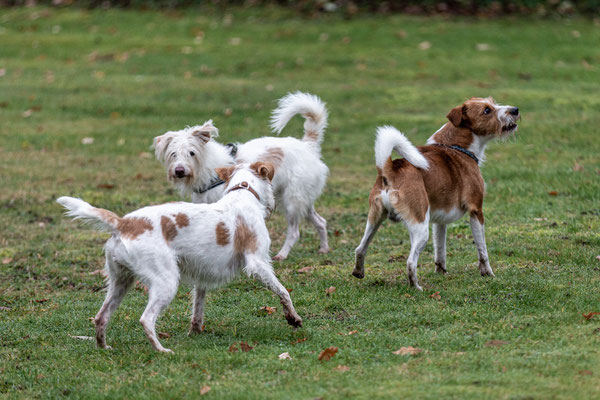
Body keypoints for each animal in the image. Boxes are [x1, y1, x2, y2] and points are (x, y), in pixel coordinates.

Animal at [58, 162, 302, 354]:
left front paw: (195, 331)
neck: (242, 192)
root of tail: (123, 223)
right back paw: (161, 350)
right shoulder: (258, 264)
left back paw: (104, 347)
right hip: (165, 281)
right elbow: (283, 292)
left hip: (121, 282)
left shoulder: (202, 275)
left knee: (101, 317)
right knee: (146, 319)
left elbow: (197, 308)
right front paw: (293, 318)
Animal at [150, 93, 328, 262]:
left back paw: (282, 254)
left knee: (294, 232)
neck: (207, 167)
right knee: (321, 221)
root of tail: (307, 146)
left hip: (291, 201)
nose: (179, 171)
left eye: (192, 153)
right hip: (301, 200)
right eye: (173, 154)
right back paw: (324, 248)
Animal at [354, 97, 516, 290]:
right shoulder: (476, 211)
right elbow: (482, 250)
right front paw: (488, 273)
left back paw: (358, 272)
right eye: (487, 110)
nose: (515, 110)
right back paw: (416, 287)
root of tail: (390, 169)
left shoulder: (439, 221)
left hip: (376, 220)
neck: (457, 146)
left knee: (360, 249)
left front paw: (441, 272)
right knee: (410, 262)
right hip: (421, 227)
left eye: (493, 103)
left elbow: (440, 250)